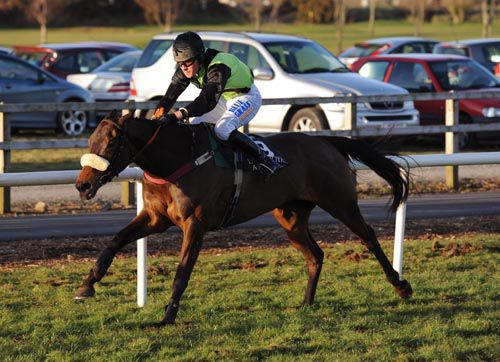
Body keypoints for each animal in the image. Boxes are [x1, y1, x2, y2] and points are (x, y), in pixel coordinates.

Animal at [73, 111, 410, 328]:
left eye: (112, 143)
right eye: (89, 141)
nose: (83, 185)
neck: (175, 159)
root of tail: (329, 143)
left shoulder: (195, 225)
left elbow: (182, 272)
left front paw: (167, 317)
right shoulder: (155, 218)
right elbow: (115, 242)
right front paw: (87, 285)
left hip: (340, 202)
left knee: (368, 237)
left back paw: (401, 286)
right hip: (291, 218)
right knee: (315, 255)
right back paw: (306, 303)